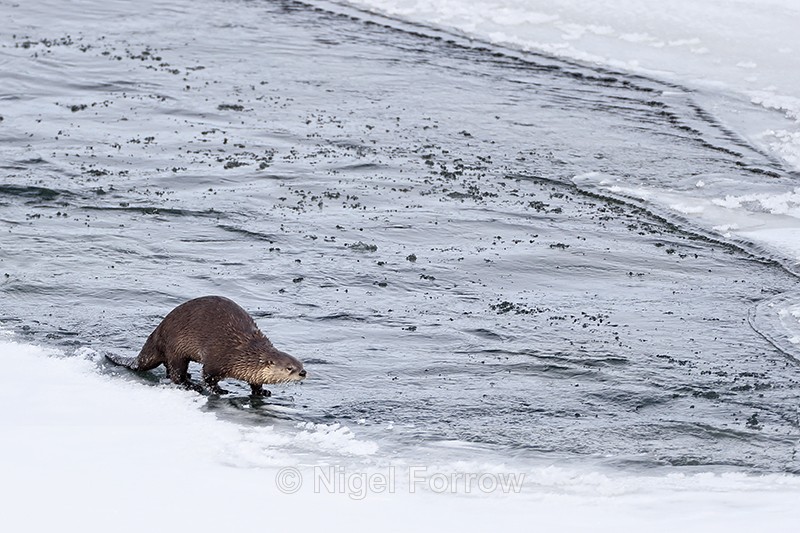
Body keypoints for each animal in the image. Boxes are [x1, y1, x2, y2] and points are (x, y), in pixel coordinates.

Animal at [106, 296, 306, 396]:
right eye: (289, 368)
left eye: (301, 365)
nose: (303, 373)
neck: (242, 354)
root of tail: (158, 332)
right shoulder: (217, 358)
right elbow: (208, 376)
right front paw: (218, 390)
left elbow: (255, 382)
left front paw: (262, 391)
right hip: (176, 347)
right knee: (175, 373)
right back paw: (190, 384)